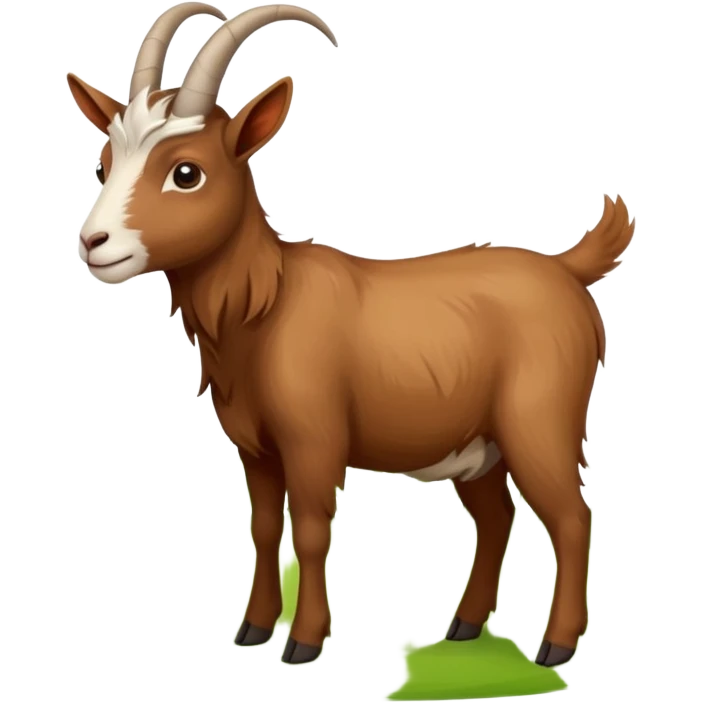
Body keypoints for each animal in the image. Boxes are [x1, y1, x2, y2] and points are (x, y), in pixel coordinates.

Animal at [67, 0, 634, 668]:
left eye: (186, 172)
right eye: (104, 164)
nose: (93, 243)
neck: (267, 301)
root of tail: (567, 268)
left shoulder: (314, 439)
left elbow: (312, 531)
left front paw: (305, 641)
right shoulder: (256, 447)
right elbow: (265, 528)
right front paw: (253, 629)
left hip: (539, 422)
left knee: (570, 518)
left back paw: (555, 645)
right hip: (478, 442)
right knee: (496, 517)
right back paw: (464, 626)